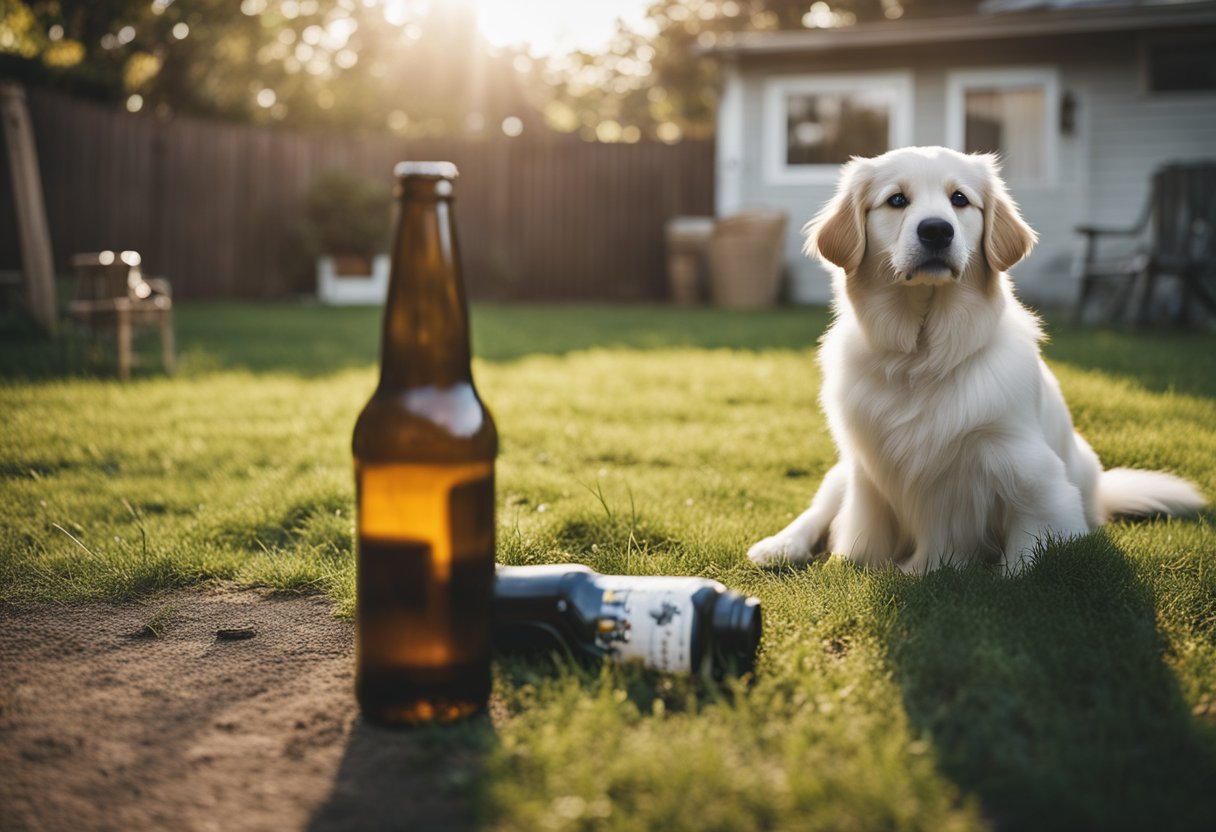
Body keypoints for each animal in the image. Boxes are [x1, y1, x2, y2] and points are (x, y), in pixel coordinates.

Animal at [744, 145, 1201, 571]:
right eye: (897, 200)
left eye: (959, 199)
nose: (936, 230)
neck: (922, 356)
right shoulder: (868, 472)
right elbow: (859, 540)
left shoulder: (1033, 475)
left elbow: (1026, 557)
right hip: (844, 469)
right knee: (818, 510)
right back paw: (778, 546)